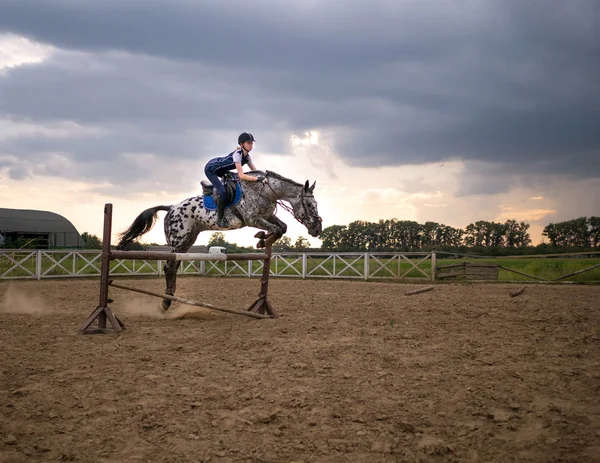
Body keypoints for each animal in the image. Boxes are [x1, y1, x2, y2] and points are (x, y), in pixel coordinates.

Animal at [118, 170, 324, 312]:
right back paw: (166, 302)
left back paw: (169, 299)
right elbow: (277, 229)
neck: (265, 191)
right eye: (309, 204)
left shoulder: (267, 217)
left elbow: (283, 227)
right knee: (169, 267)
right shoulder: (253, 219)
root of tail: (171, 207)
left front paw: (262, 240)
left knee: (173, 267)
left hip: (188, 240)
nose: (317, 229)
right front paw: (261, 240)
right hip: (178, 239)